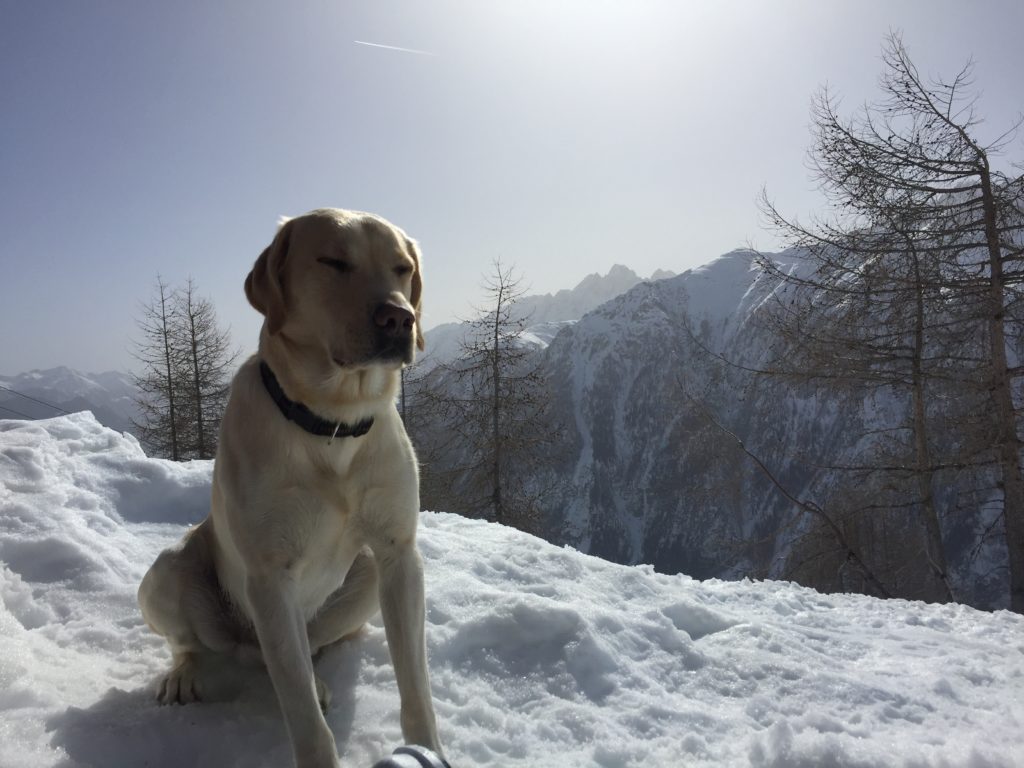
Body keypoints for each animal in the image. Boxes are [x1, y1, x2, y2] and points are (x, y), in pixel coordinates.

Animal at [136, 207, 440, 765]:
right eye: (334, 262)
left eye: (403, 268)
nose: (399, 317)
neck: (332, 423)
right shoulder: (270, 576)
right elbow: (303, 719)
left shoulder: (398, 553)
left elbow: (416, 689)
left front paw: (425, 747)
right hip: (171, 571)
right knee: (196, 644)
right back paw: (185, 675)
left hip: (365, 577)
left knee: (309, 651)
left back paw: (317, 681)